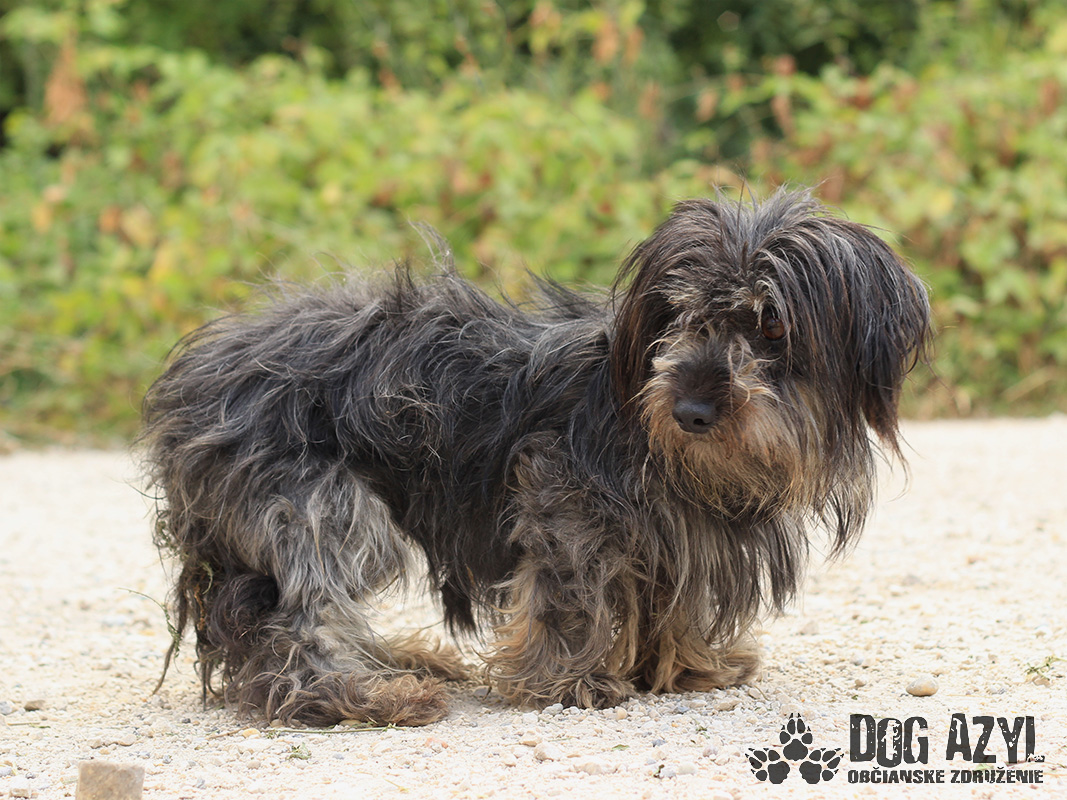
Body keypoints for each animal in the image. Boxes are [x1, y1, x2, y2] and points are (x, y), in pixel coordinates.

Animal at [141, 189, 929, 726]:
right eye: (678, 317)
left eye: (770, 326)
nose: (691, 412)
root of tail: (191, 380)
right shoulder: (562, 500)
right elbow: (569, 595)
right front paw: (568, 684)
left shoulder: (668, 528)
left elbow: (666, 598)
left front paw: (684, 666)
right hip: (320, 504)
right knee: (297, 617)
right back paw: (361, 693)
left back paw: (401, 659)